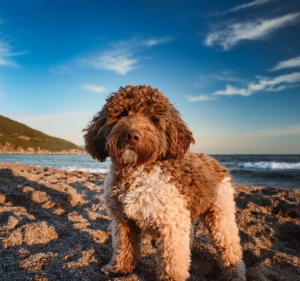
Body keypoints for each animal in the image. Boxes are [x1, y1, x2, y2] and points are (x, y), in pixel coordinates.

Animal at [84, 85, 246, 280]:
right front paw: (120, 268)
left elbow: (172, 260)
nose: (131, 135)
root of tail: (215, 161)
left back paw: (235, 273)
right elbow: (124, 247)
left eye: (152, 118)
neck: (138, 170)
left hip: (220, 214)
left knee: (229, 247)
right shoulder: (123, 220)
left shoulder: (172, 224)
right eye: (122, 113)